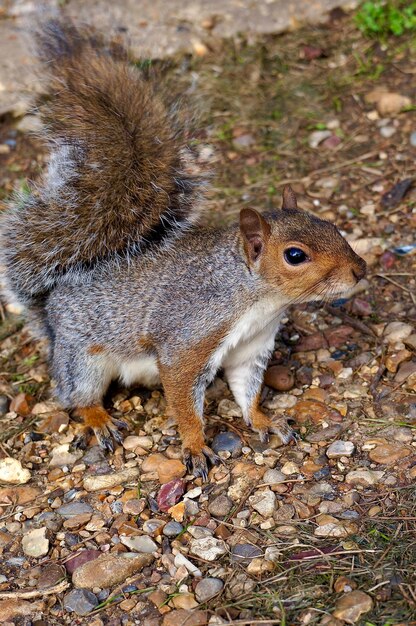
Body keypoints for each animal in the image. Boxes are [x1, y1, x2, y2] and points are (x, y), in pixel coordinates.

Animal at [1, 18, 368, 478]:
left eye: (333, 226)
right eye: (295, 255)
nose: (360, 270)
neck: (255, 297)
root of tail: (50, 307)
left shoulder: (253, 346)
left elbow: (247, 388)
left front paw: (263, 419)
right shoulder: (188, 336)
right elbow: (183, 398)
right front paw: (195, 446)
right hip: (83, 356)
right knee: (74, 396)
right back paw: (99, 419)